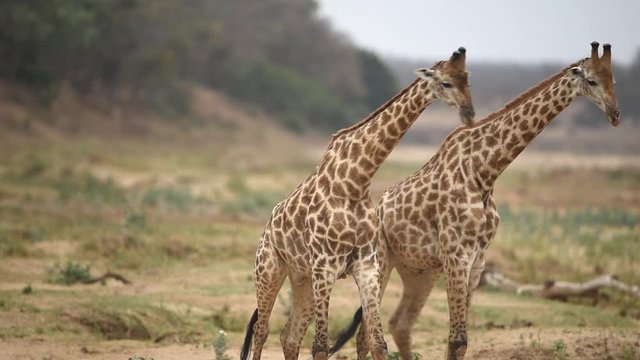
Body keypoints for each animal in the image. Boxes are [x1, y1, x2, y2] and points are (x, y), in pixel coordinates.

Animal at [240, 47, 476, 360]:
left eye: (467, 79)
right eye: (446, 82)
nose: (469, 114)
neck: (356, 181)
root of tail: (266, 229)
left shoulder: (366, 265)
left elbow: (377, 342)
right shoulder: (325, 265)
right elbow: (320, 346)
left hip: (302, 279)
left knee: (288, 336)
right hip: (269, 269)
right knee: (261, 329)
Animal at [332, 43, 624, 360]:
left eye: (614, 80)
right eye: (592, 80)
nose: (615, 114)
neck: (485, 173)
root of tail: (378, 208)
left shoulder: (477, 260)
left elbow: (459, 341)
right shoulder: (457, 255)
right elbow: (457, 339)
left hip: (420, 271)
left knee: (400, 323)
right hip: (383, 263)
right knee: (366, 334)